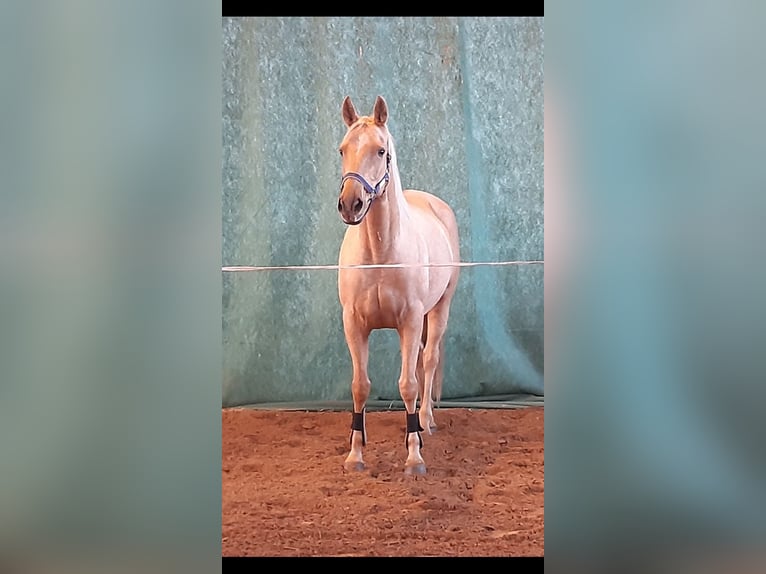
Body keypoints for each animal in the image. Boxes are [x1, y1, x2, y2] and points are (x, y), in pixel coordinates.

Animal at [338, 95, 460, 476]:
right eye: (342, 149)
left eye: (380, 151)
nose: (350, 205)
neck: (380, 254)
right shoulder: (354, 325)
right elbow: (359, 386)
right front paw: (355, 454)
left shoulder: (409, 322)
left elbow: (408, 384)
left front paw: (414, 456)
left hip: (438, 310)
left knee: (429, 360)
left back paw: (426, 421)